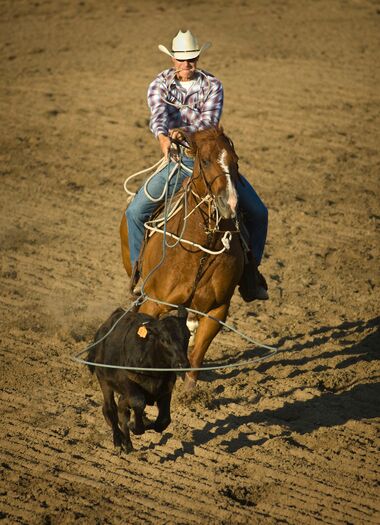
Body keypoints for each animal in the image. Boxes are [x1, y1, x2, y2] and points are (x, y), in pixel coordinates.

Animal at [120, 127, 245, 388]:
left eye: (236, 162)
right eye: (205, 161)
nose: (229, 204)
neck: (201, 249)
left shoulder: (218, 309)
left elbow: (197, 353)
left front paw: (189, 391)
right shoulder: (154, 302)